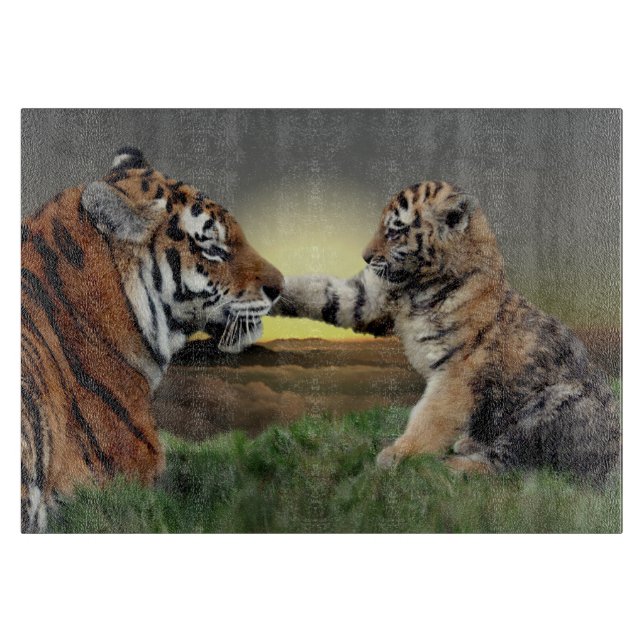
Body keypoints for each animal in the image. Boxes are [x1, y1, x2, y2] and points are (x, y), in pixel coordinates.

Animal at [273, 180, 620, 484]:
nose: (366, 257)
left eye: (395, 231)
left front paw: (400, 454)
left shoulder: (457, 372)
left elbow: (429, 417)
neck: (416, 284)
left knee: (512, 465)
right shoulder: (370, 297)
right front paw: (271, 288)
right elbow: (323, 292)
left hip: (558, 402)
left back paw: (446, 466)